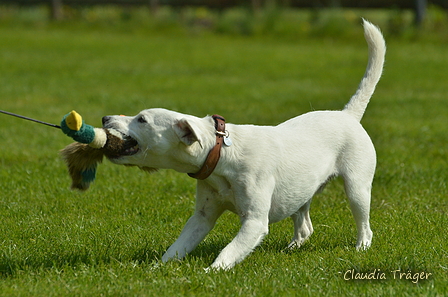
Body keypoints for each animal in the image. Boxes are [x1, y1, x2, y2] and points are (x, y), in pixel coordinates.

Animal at [101, 19, 384, 270]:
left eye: (142, 119)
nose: (105, 118)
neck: (222, 156)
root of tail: (348, 115)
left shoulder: (254, 222)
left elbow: (229, 251)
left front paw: (211, 272)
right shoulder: (202, 217)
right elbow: (177, 247)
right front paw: (155, 269)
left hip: (357, 188)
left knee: (365, 226)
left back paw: (360, 248)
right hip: (300, 193)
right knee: (305, 228)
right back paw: (291, 248)